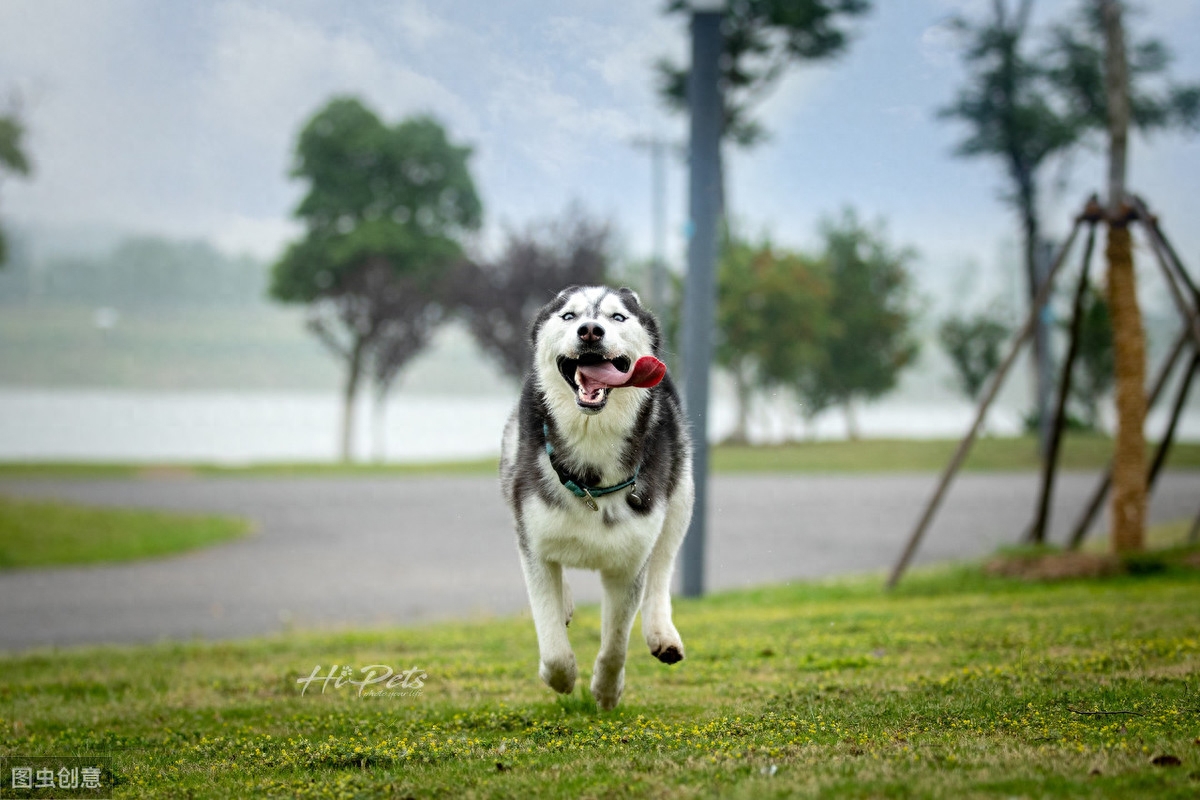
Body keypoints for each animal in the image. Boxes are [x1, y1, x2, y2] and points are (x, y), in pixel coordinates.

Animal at [499, 284, 696, 710]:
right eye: (569, 316)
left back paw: (662, 632)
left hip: (682, 496)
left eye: (617, 317)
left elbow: (616, 645)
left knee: (662, 566)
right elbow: (552, 638)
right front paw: (560, 677)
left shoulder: (628, 562)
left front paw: (606, 691)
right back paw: (566, 603)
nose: (590, 330)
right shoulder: (532, 537)